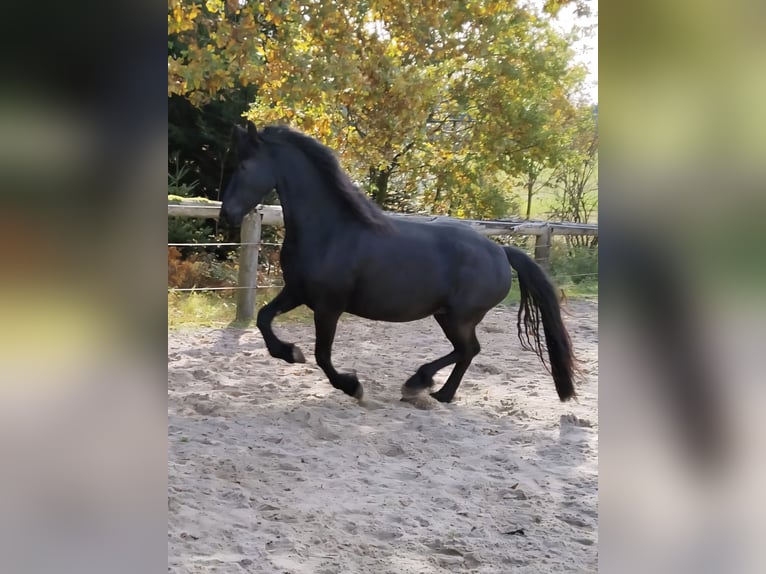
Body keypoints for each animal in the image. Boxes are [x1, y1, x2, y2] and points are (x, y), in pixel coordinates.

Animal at [220, 122, 576, 404]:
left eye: (244, 166)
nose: (227, 215)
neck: (330, 230)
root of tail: (502, 251)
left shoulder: (328, 306)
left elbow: (322, 355)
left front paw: (352, 386)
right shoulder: (297, 292)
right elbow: (263, 319)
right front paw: (290, 352)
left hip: (459, 317)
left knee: (468, 350)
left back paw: (423, 386)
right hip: (448, 316)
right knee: (468, 351)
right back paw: (434, 391)